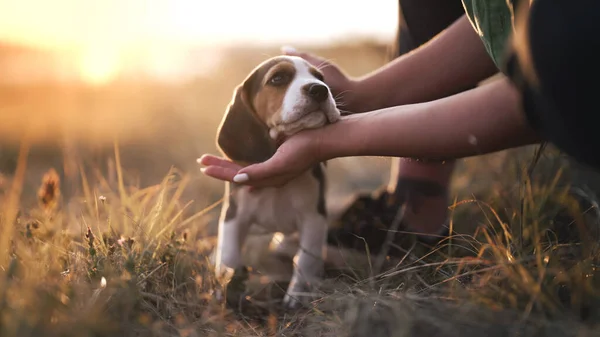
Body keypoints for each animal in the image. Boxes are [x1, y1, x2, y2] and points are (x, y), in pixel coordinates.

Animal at [213, 53, 340, 308]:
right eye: (278, 78)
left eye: (320, 78)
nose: (320, 90)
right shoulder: (234, 215)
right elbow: (230, 254)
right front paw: (225, 286)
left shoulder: (314, 218)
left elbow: (306, 259)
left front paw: (298, 296)